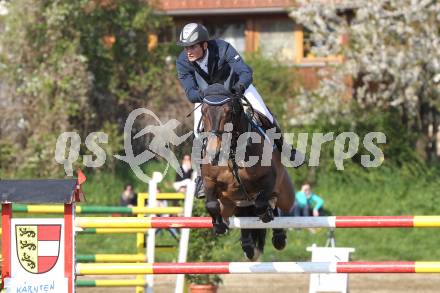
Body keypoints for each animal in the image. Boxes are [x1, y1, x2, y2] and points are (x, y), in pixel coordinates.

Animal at [197, 83, 296, 258]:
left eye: (229, 112)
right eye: (203, 112)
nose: (213, 152)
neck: (232, 151)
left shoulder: (270, 178)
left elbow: (261, 203)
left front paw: (266, 214)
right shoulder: (209, 180)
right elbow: (211, 204)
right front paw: (219, 226)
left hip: (286, 197)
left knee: (274, 203)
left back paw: (278, 237)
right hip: (232, 203)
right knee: (241, 212)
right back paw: (248, 246)